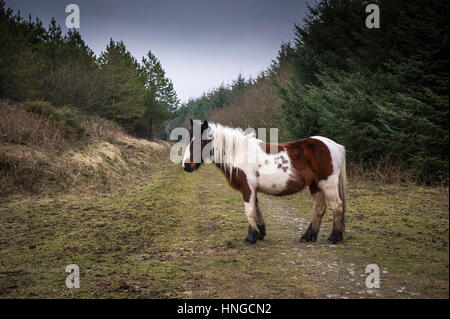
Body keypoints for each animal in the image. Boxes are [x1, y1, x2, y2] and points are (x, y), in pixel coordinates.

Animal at [181, 120, 346, 245]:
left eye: (200, 141)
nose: (186, 166)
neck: (239, 153)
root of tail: (335, 146)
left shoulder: (248, 188)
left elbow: (249, 210)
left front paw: (250, 237)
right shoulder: (252, 189)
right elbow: (256, 209)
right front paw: (259, 233)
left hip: (328, 184)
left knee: (337, 206)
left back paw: (334, 237)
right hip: (315, 185)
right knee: (320, 208)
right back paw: (308, 236)